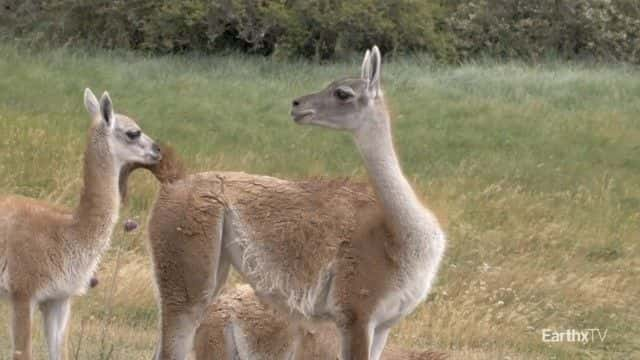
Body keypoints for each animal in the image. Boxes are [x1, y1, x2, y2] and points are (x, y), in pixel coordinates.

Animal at [0, 89, 160, 360]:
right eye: (133, 132)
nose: (158, 150)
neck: (68, 231)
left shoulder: (59, 299)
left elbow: (59, 353)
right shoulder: (23, 291)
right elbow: (23, 353)